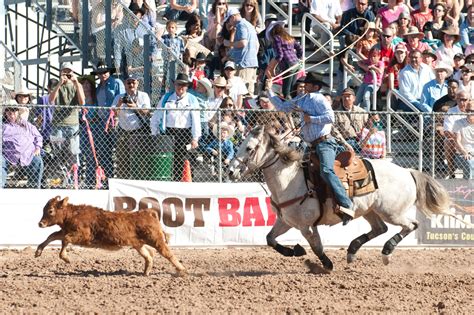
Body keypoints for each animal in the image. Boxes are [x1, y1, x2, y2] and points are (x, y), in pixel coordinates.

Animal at [35, 196, 186, 278]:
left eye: (50, 210)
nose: (40, 223)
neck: (72, 215)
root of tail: (148, 213)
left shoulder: (82, 235)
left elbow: (65, 239)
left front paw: (66, 258)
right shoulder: (66, 230)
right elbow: (53, 236)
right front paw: (38, 251)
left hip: (156, 240)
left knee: (168, 254)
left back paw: (181, 270)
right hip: (138, 244)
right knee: (148, 255)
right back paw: (146, 272)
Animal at [230, 126, 456, 272]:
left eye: (249, 148)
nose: (231, 171)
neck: (289, 179)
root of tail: (407, 171)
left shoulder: (306, 226)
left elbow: (317, 247)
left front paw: (325, 265)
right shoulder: (286, 221)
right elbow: (270, 239)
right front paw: (295, 251)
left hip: (392, 212)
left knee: (411, 225)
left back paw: (385, 251)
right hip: (369, 211)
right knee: (380, 228)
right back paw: (352, 250)